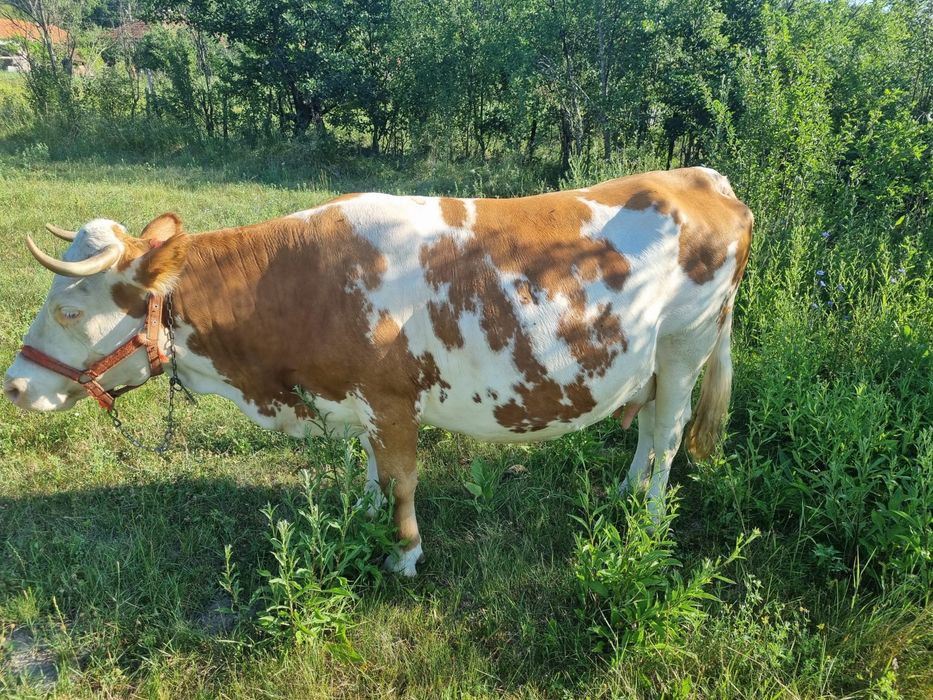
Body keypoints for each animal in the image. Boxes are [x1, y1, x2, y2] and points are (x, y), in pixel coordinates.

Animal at [3, 166, 753, 576]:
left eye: (69, 308)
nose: (14, 385)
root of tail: (696, 178)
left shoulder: (391, 398)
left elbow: (399, 481)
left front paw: (403, 555)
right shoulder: (358, 397)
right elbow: (370, 473)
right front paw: (361, 519)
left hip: (685, 344)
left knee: (667, 434)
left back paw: (648, 521)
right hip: (645, 358)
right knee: (646, 424)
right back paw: (624, 493)